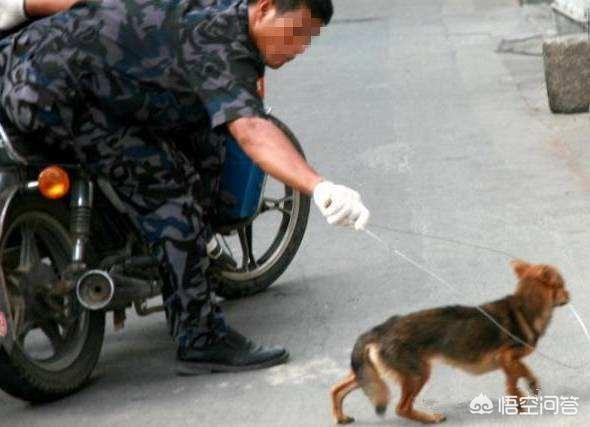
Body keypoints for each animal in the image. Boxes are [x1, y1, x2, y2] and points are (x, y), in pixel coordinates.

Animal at [330, 260, 572, 424]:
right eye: (562, 285)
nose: (570, 296)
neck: (526, 306)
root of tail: (380, 329)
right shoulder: (506, 356)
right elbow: (521, 372)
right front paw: (525, 393)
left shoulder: (506, 362)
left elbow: (517, 377)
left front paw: (523, 394)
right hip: (418, 374)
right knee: (401, 408)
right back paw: (430, 418)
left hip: (369, 373)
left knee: (336, 389)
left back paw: (340, 416)